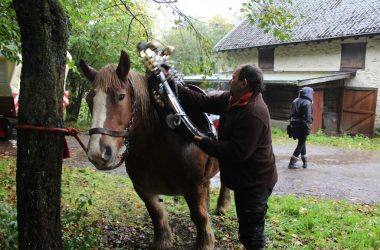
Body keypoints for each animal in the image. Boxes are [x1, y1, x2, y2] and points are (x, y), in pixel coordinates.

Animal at [78, 51, 230, 250]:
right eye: (89, 99)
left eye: (121, 96)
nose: (98, 153)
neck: (157, 144)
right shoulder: (143, 188)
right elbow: (157, 214)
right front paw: (162, 241)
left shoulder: (193, 187)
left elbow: (199, 216)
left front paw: (205, 243)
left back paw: (222, 207)